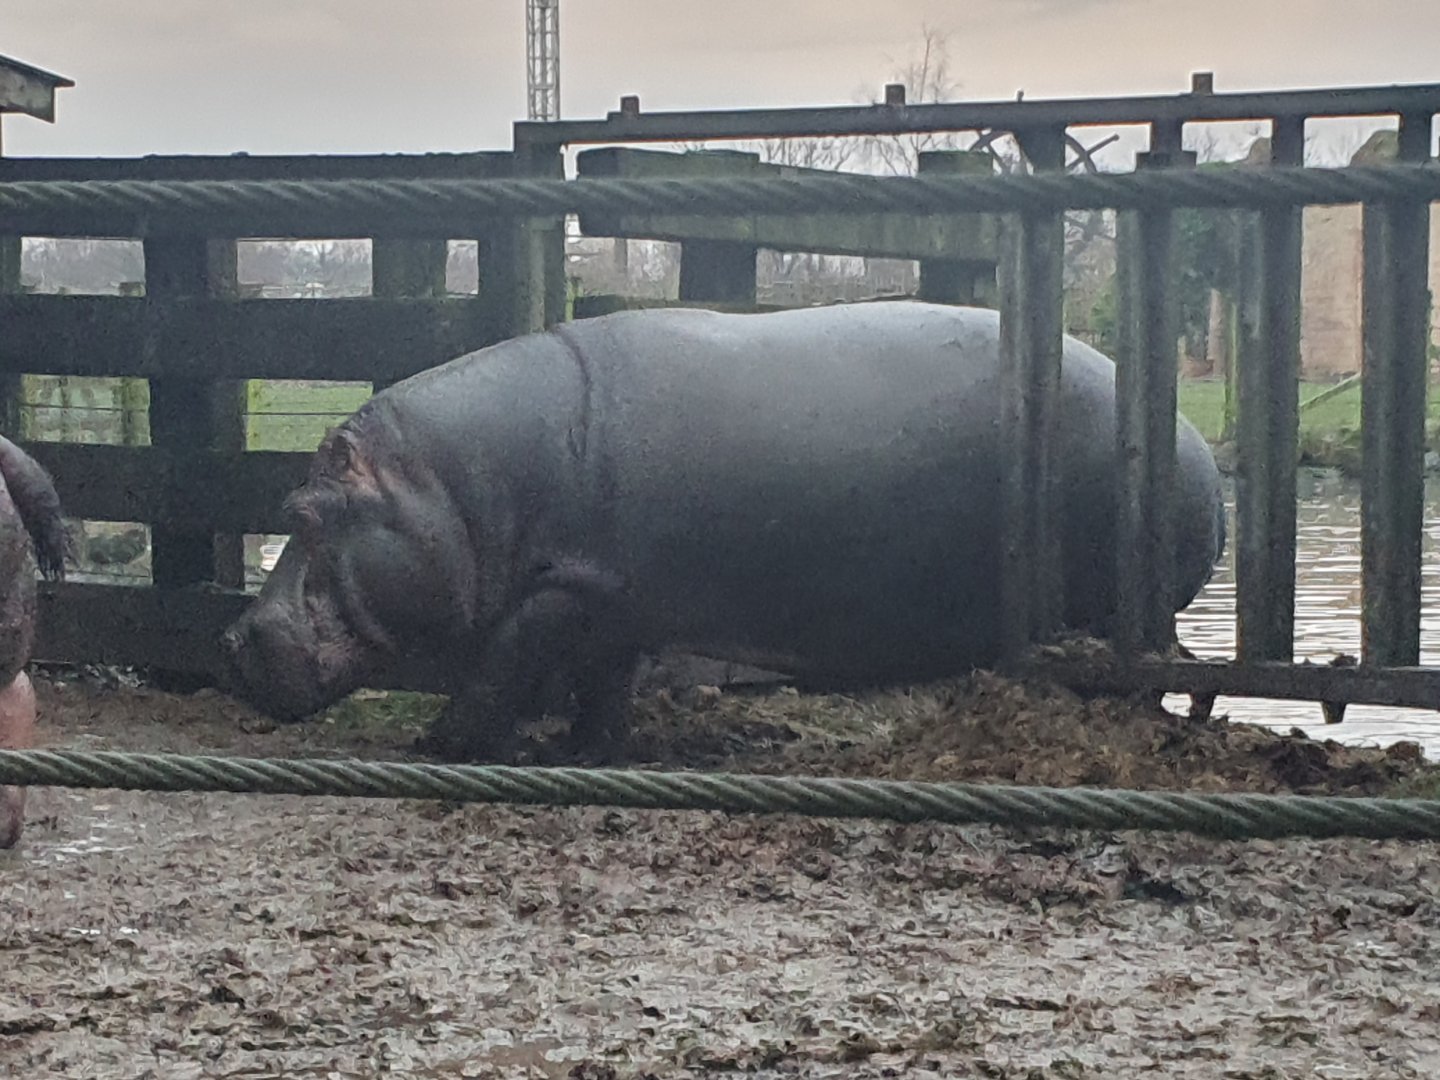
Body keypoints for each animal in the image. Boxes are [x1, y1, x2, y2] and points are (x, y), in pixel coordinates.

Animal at [221, 302, 1225, 762]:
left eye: (301, 514)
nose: (233, 638)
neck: (450, 484)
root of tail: (1196, 447)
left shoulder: (558, 592)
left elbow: (497, 669)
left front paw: (438, 746)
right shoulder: (611, 596)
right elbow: (603, 685)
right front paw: (584, 752)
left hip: (1110, 608)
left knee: (1153, 672)